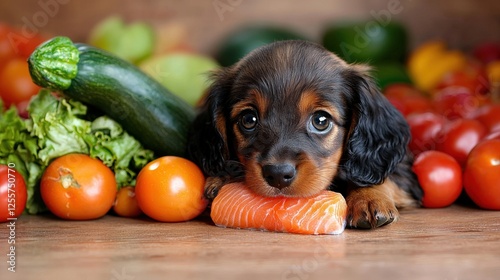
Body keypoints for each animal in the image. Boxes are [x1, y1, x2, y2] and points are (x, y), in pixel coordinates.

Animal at [187, 39, 422, 229]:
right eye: (248, 119)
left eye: (321, 121)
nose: (278, 174)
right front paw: (224, 177)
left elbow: (383, 177)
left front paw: (369, 198)